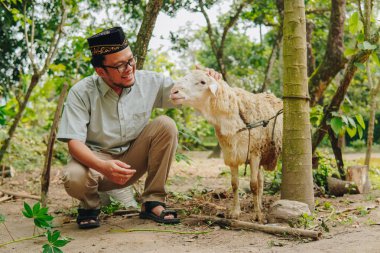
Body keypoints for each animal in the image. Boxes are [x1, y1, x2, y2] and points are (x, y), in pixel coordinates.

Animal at [169, 69, 282, 221]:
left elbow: (253, 185)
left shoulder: (254, 153)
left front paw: (258, 216)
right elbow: (235, 184)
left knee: (260, 181)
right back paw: (258, 204)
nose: (174, 92)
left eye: (203, 82)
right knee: (261, 179)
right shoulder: (232, 155)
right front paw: (235, 212)